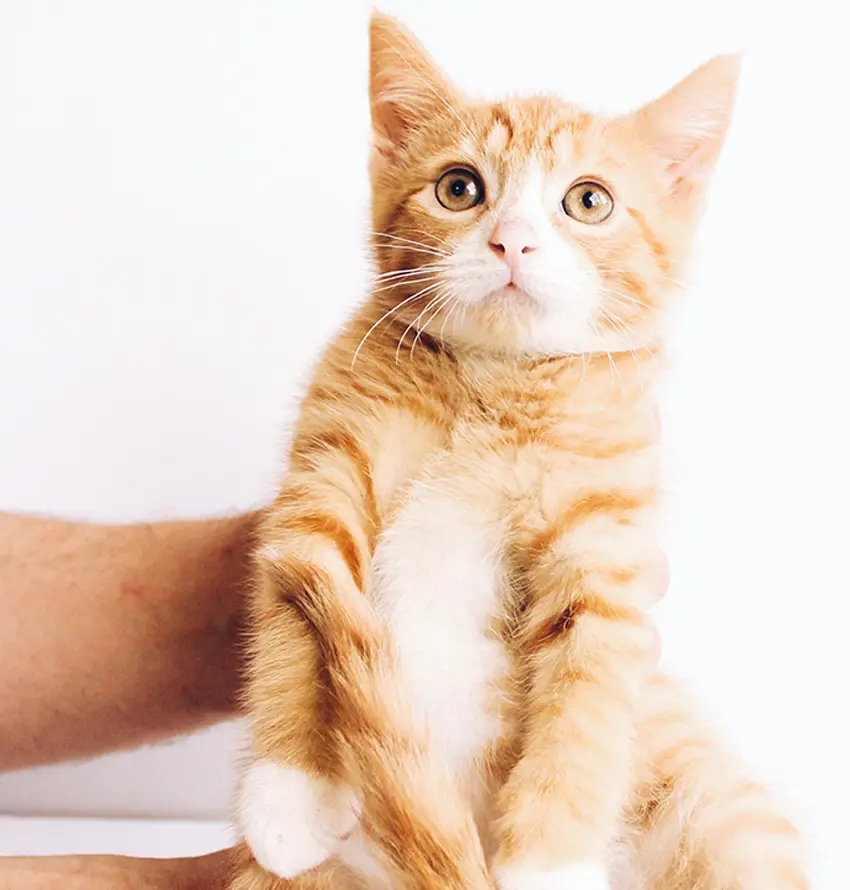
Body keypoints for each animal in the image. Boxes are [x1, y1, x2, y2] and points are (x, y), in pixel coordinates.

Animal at [230, 12, 808, 888]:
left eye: (589, 201)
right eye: (459, 188)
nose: (513, 244)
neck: (492, 385)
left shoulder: (605, 552)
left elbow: (588, 704)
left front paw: (551, 863)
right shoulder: (324, 467)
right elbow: (295, 616)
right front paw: (287, 791)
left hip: (713, 799)